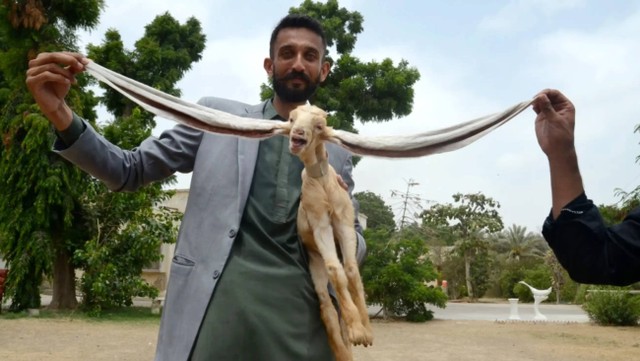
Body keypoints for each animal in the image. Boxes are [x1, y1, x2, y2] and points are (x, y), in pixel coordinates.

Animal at [288, 102, 372, 358]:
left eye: (319, 125)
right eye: (291, 118)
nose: (298, 134)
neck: (323, 183)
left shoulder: (344, 222)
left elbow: (352, 270)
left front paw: (366, 331)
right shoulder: (320, 224)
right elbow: (336, 270)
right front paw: (358, 331)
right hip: (315, 261)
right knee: (326, 304)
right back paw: (343, 350)